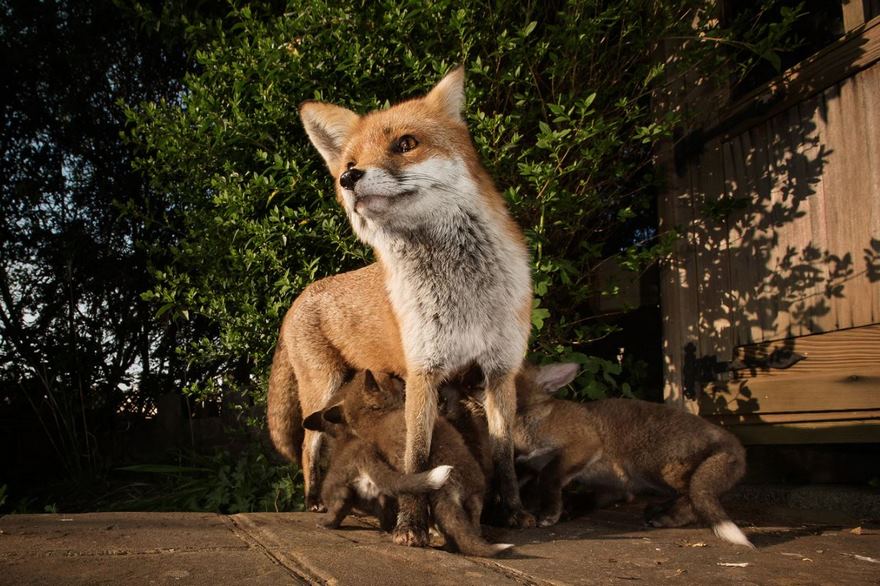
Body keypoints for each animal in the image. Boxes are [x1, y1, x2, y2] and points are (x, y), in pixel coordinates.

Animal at [512, 362, 754, 548]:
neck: (530, 420)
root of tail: (733, 443)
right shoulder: (529, 464)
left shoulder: (583, 445)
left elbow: (548, 477)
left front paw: (549, 513)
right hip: (629, 478)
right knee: (618, 496)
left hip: (656, 467)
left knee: (695, 497)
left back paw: (667, 516)